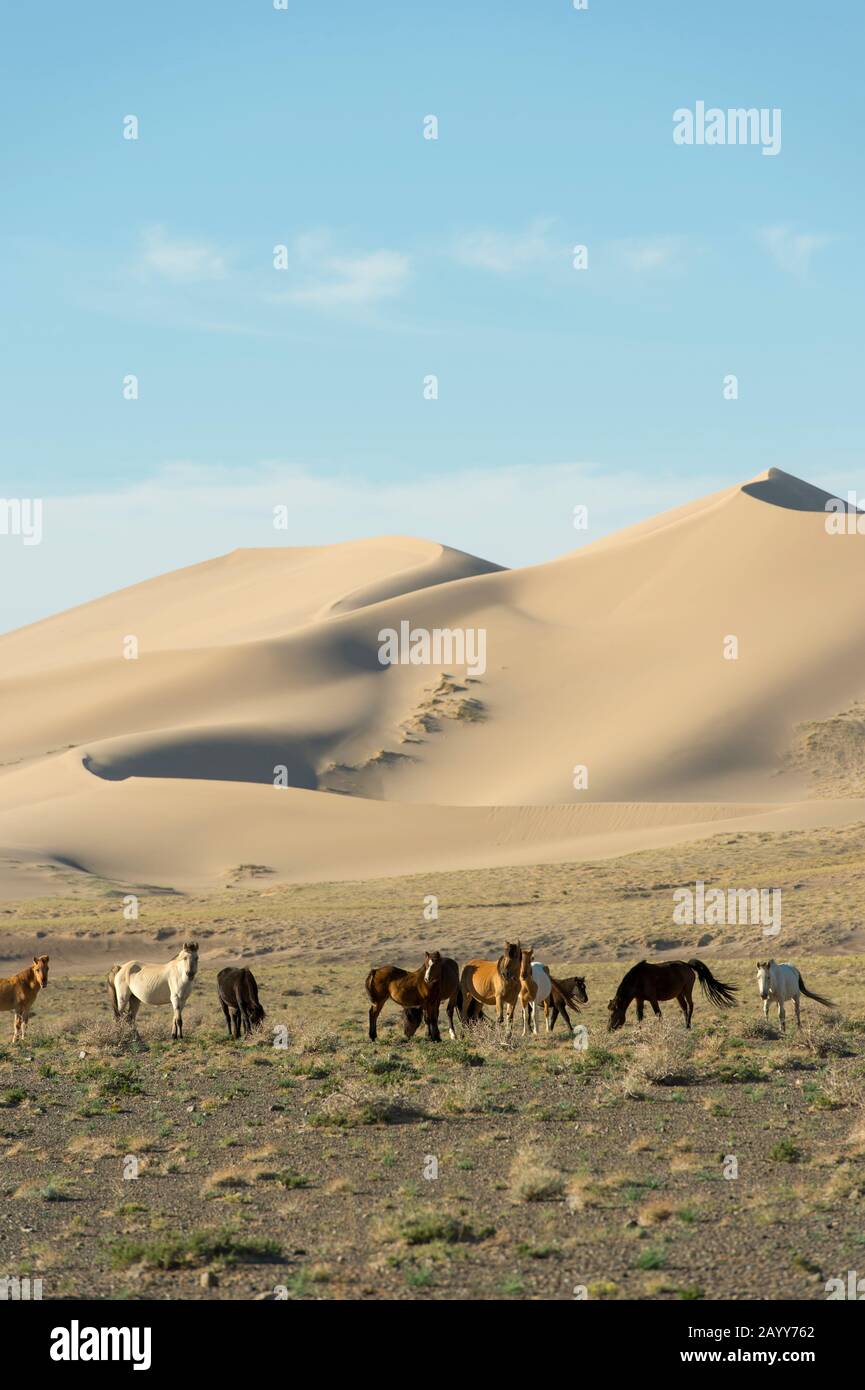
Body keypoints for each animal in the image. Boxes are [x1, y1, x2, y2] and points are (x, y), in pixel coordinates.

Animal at [609, 956, 739, 1034]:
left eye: (612, 1015)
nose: (608, 1029)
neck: (638, 978)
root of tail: (687, 965)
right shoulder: (639, 999)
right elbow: (639, 1016)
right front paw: (639, 1031)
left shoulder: (652, 999)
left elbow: (658, 1014)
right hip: (679, 994)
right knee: (684, 1007)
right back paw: (685, 1025)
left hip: (687, 990)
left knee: (690, 1005)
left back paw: (688, 1026)